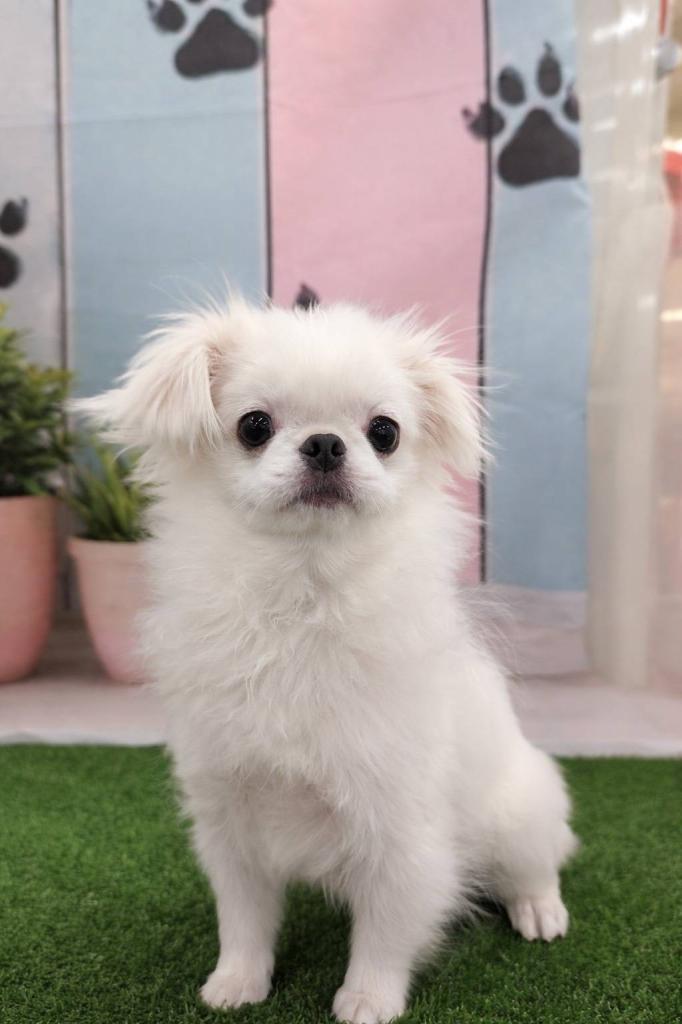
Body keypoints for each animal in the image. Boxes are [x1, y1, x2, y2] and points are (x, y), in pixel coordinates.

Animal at [75, 298, 577, 1024]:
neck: (301, 599)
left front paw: (367, 1000)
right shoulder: (229, 818)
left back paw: (540, 910)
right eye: (254, 426)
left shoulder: (400, 830)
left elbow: (385, 933)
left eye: (384, 432)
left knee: (536, 865)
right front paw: (237, 982)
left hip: (517, 815)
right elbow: (244, 920)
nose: (324, 443)